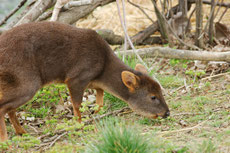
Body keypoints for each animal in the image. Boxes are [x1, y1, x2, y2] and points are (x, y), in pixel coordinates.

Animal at [0, 21, 169, 141]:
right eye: (153, 97)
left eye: (161, 92)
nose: (167, 113)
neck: (103, 69)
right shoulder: (76, 77)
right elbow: (77, 105)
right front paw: (79, 126)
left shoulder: (93, 83)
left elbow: (100, 100)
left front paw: (95, 114)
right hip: (27, 82)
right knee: (4, 107)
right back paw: (6, 140)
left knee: (10, 109)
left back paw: (22, 132)